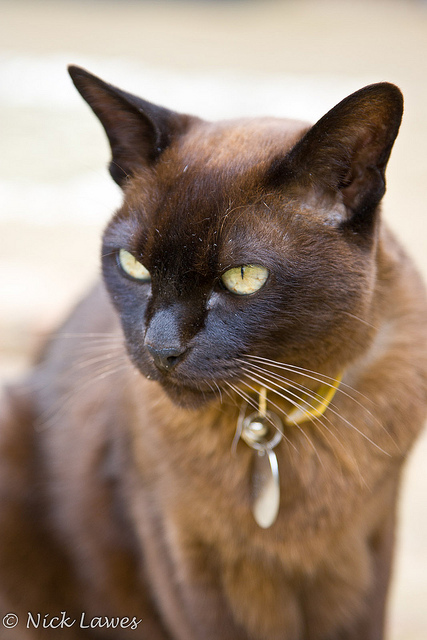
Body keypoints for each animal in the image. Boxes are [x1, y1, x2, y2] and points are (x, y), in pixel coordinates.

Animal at [0, 66, 427, 640]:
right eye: (132, 265)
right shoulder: (190, 561)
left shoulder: (366, 558)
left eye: (244, 277)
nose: (161, 347)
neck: (270, 424)